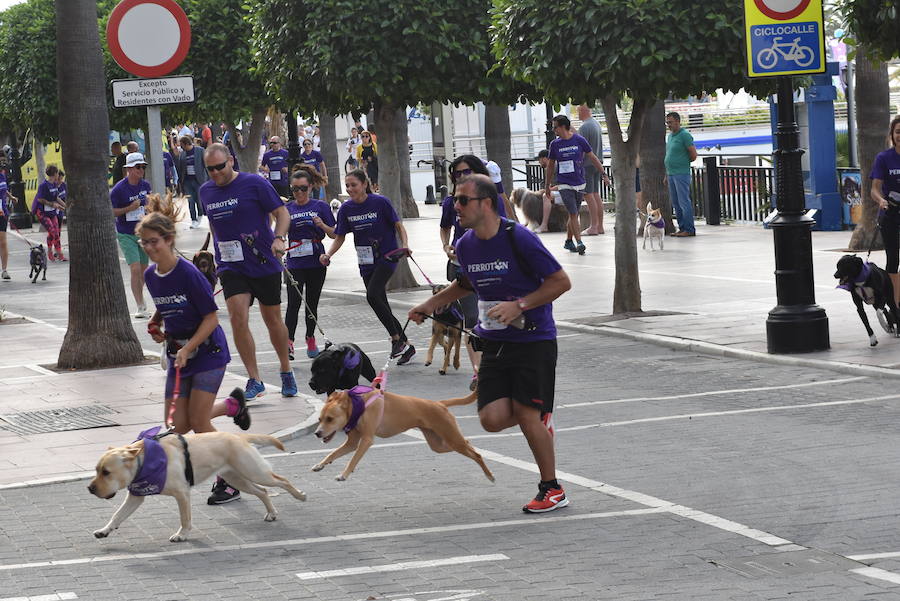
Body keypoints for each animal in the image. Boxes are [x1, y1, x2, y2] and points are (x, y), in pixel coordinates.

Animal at [89, 428, 306, 540]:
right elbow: (117, 515)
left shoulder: (182, 494)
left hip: (255, 472)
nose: (89, 489)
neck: (145, 461)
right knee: (263, 492)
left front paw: (182, 534)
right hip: (237, 478)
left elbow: (185, 518)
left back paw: (300, 495)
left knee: (281, 481)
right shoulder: (136, 497)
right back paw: (272, 513)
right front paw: (104, 530)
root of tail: (238, 435)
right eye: (97, 470)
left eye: (106, 472)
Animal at [312, 384, 496, 482]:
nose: (317, 433)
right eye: (320, 419)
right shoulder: (351, 443)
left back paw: (490, 475)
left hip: (451, 439)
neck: (358, 404)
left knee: (476, 455)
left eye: (330, 419)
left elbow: (353, 460)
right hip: (439, 444)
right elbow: (333, 453)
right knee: (469, 445)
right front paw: (320, 464)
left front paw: (344, 475)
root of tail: (439, 404)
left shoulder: (366, 440)